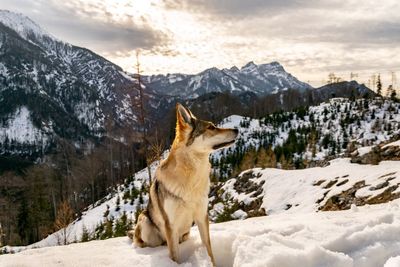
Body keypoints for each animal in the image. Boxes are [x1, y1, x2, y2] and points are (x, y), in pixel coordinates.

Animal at [130, 103, 239, 266]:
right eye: (211, 127)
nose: (236, 130)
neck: (190, 179)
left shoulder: (202, 216)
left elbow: (208, 249)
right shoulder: (171, 225)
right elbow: (174, 257)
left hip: (184, 233)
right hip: (145, 222)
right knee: (142, 242)